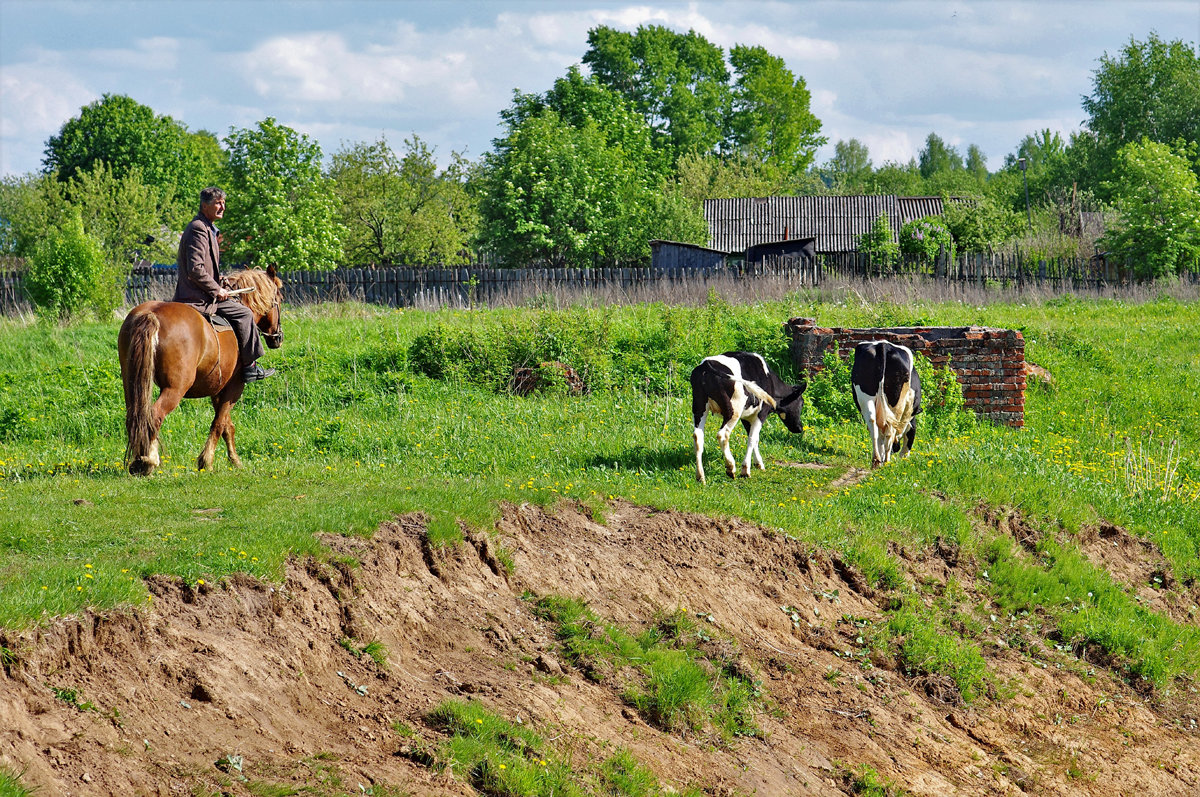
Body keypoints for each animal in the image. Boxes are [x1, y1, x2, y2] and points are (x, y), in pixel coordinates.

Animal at [118, 267, 284, 475]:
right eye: (280, 299)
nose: (278, 337)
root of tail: (150, 314)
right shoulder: (235, 386)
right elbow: (219, 423)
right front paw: (206, 461)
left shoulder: (218, 389)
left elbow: (227, 425)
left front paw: (234, 460)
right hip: (175, 388)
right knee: (154, 417)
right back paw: (149, 460)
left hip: (131, 383)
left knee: (135, 417)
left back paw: (137, 461)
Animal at [696, 352, 806, 482]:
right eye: (801, 403)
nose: (800, 428)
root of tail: (707, 364)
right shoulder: (761, 413)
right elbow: (753, 439)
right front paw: (745, 470)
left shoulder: (746, 416)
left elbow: (753, 438)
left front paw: (759, 464)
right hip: (733, 411)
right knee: (723, 434)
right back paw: (731, 468)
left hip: (699, 407)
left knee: (698, 436)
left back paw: (700, 477)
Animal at [849, 340, 921, 468]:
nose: (896, 449)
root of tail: (883, 345)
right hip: (896, 404)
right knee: (889, 431)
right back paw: (886, 461)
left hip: (865, 398)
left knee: (873, 426)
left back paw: (876, 460)